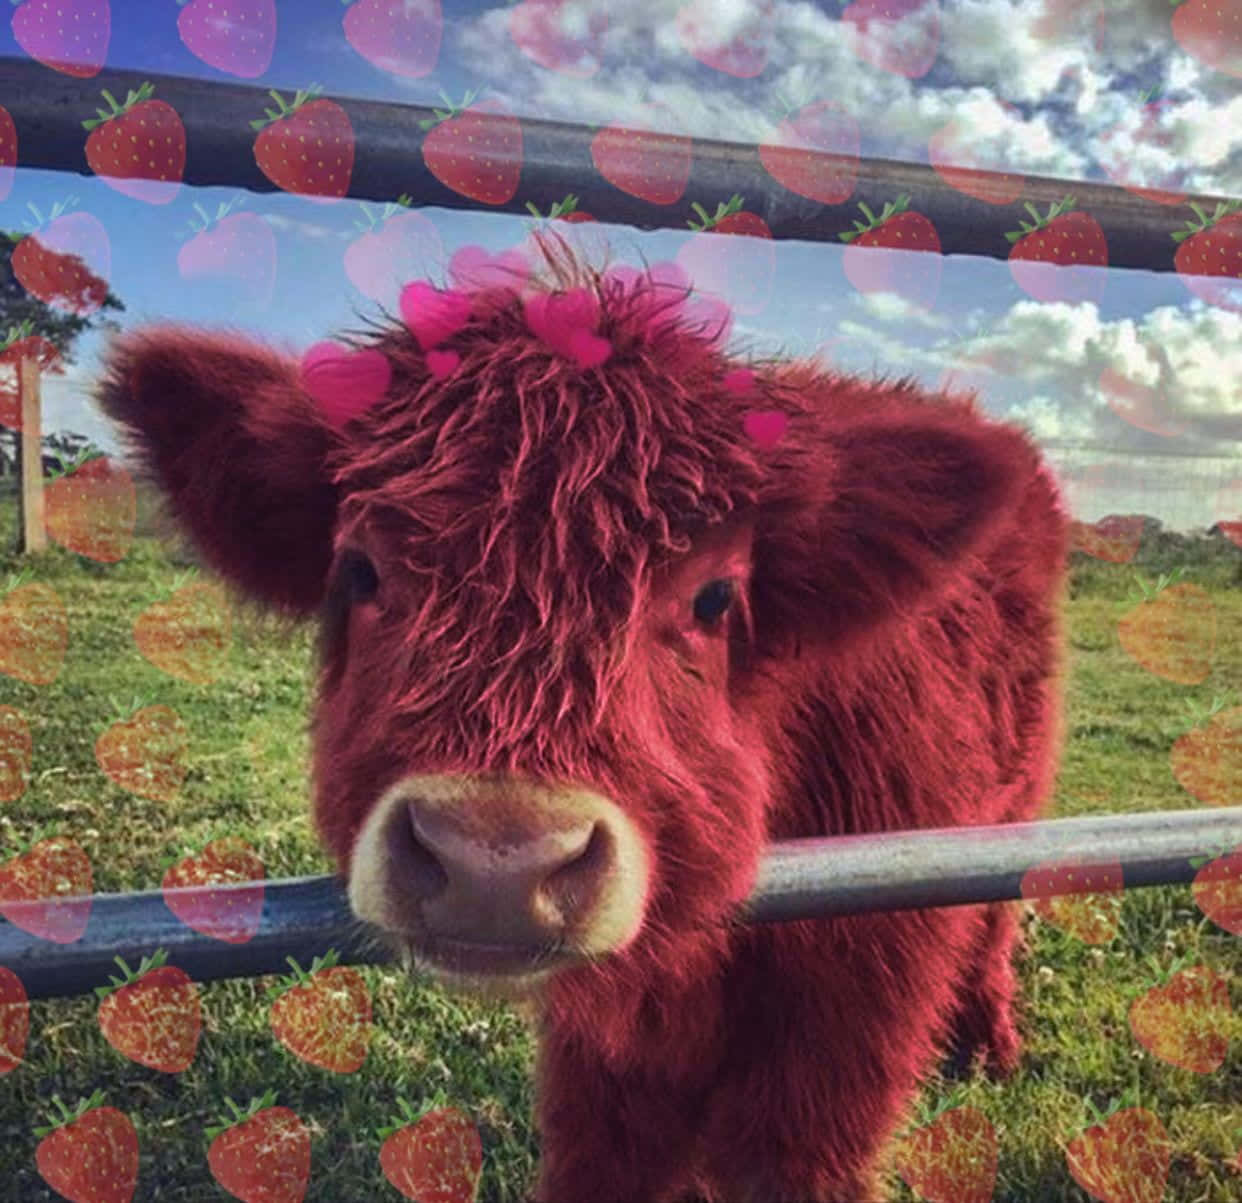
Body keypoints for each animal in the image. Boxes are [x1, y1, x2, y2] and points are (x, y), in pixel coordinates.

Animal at [96, 233, 1068, 1203]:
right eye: (362, 569)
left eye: (715, 597)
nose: (493, 861)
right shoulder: (607, 1073)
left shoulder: (843, 1043)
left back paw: (988, 1042)